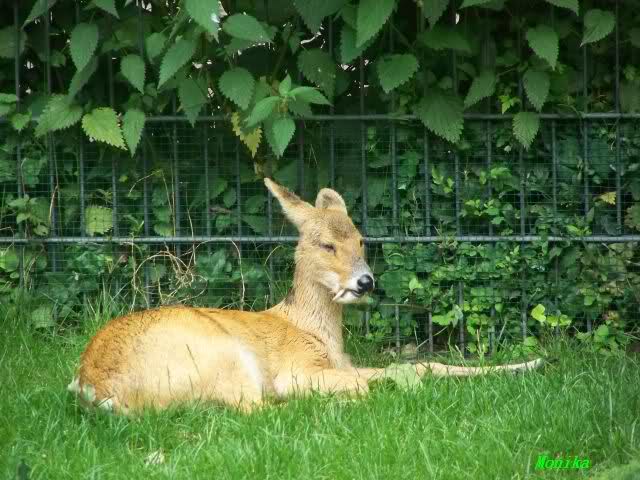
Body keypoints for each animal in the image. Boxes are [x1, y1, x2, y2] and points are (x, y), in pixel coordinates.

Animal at [68, 178, 543, 413]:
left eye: (361, 239)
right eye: (326, 245)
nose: (365, 282)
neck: (314, 333)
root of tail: (96, 389)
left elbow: (424, 363)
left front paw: (532, 363)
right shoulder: (296, 368)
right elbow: (398, 373)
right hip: (222, 356)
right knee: (259, 409)